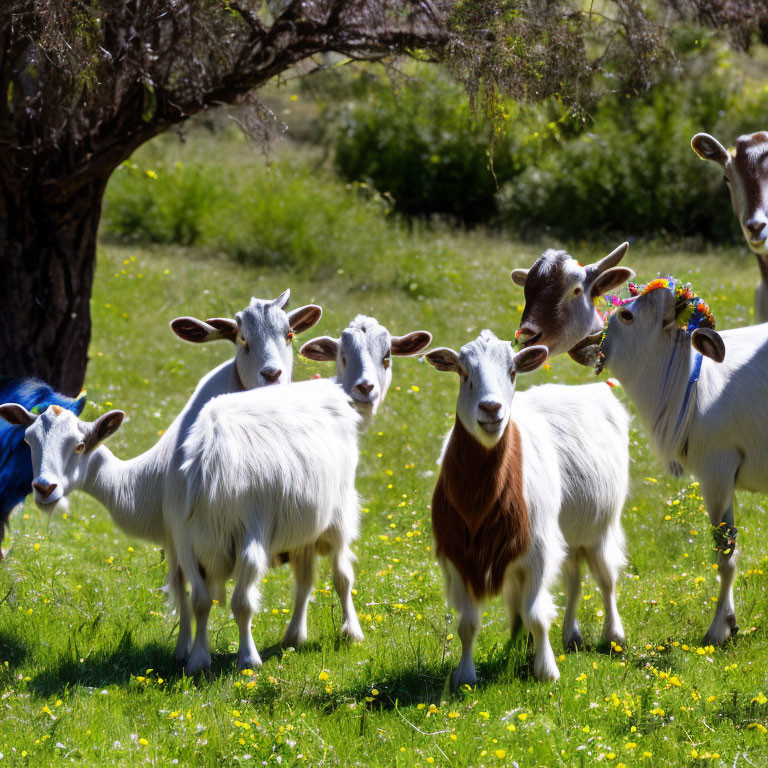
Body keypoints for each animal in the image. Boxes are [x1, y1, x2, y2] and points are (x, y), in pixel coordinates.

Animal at [592, 276, 768, 648]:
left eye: (626, 315)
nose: (587, 343)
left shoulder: (716, 468)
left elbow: (725, 556)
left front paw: (718, 629)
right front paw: (730, 623)